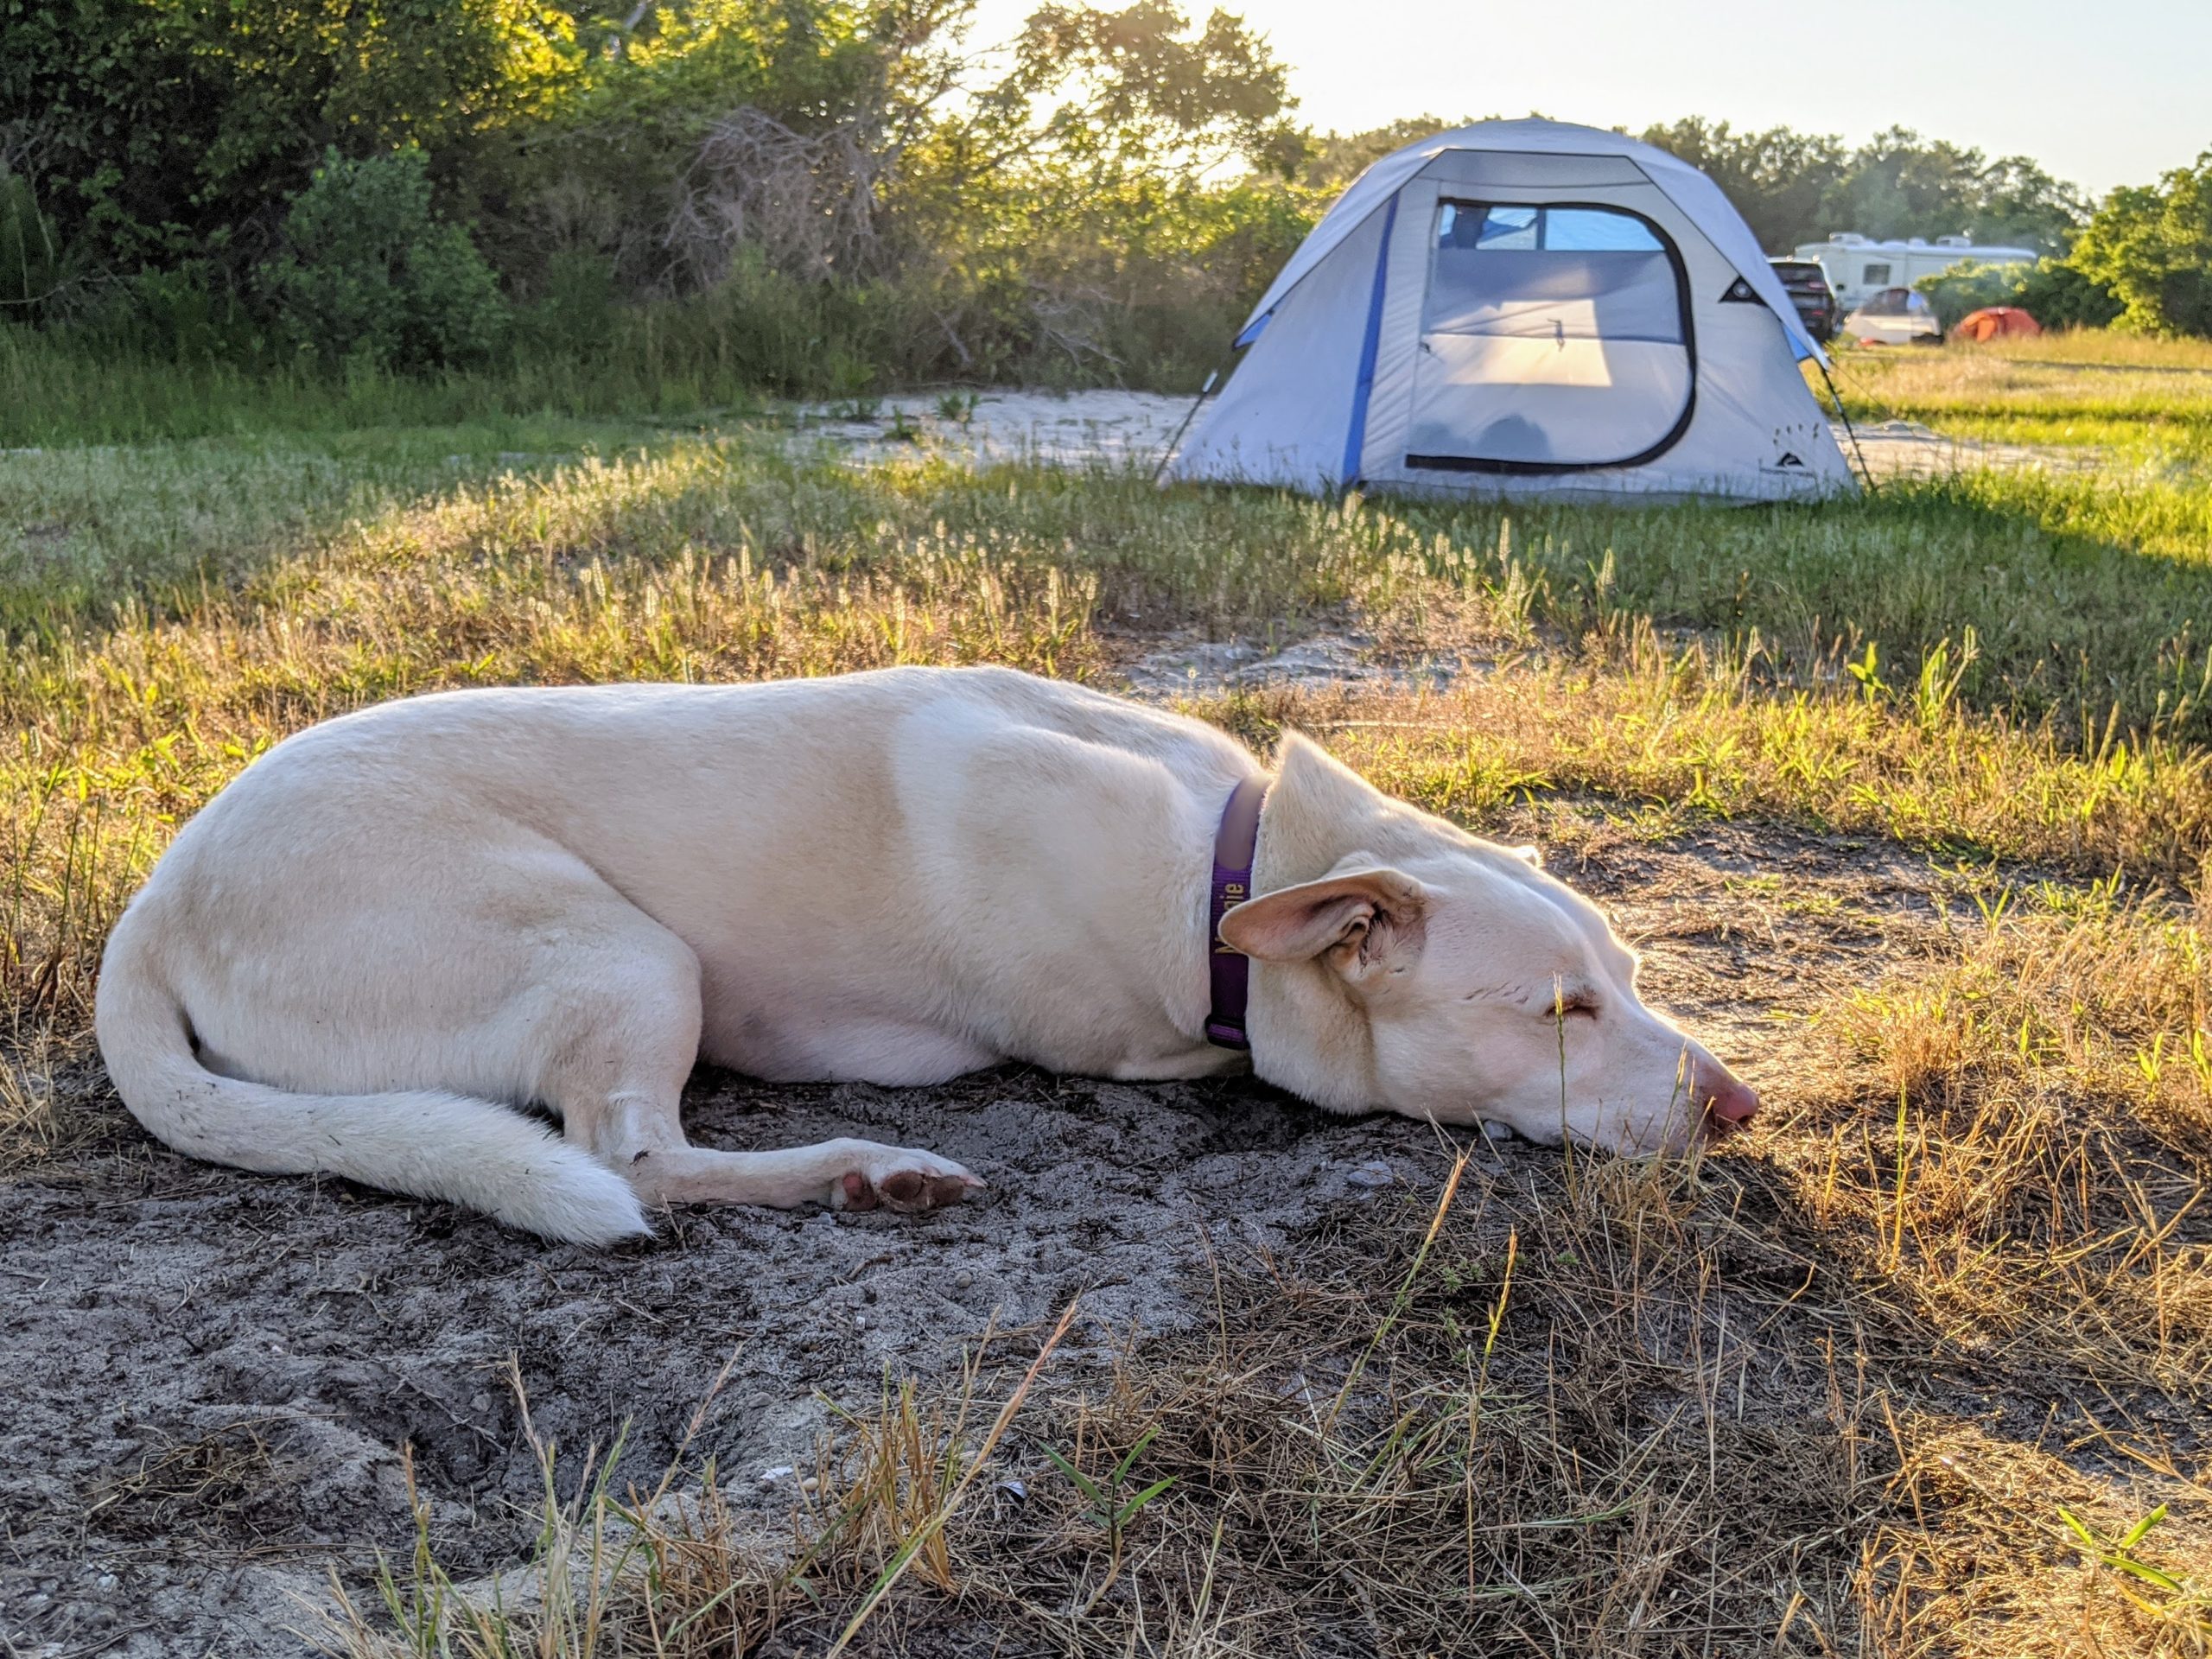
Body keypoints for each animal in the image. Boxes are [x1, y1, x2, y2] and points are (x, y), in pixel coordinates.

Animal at [90, 668, 1760, 1247]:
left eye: (1630, 975)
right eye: (1561, 1009)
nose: (1742, 1108)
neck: (1235, 868)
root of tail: (157, 903)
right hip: (628, 955)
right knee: (633, 1161)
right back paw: (864, 1172)